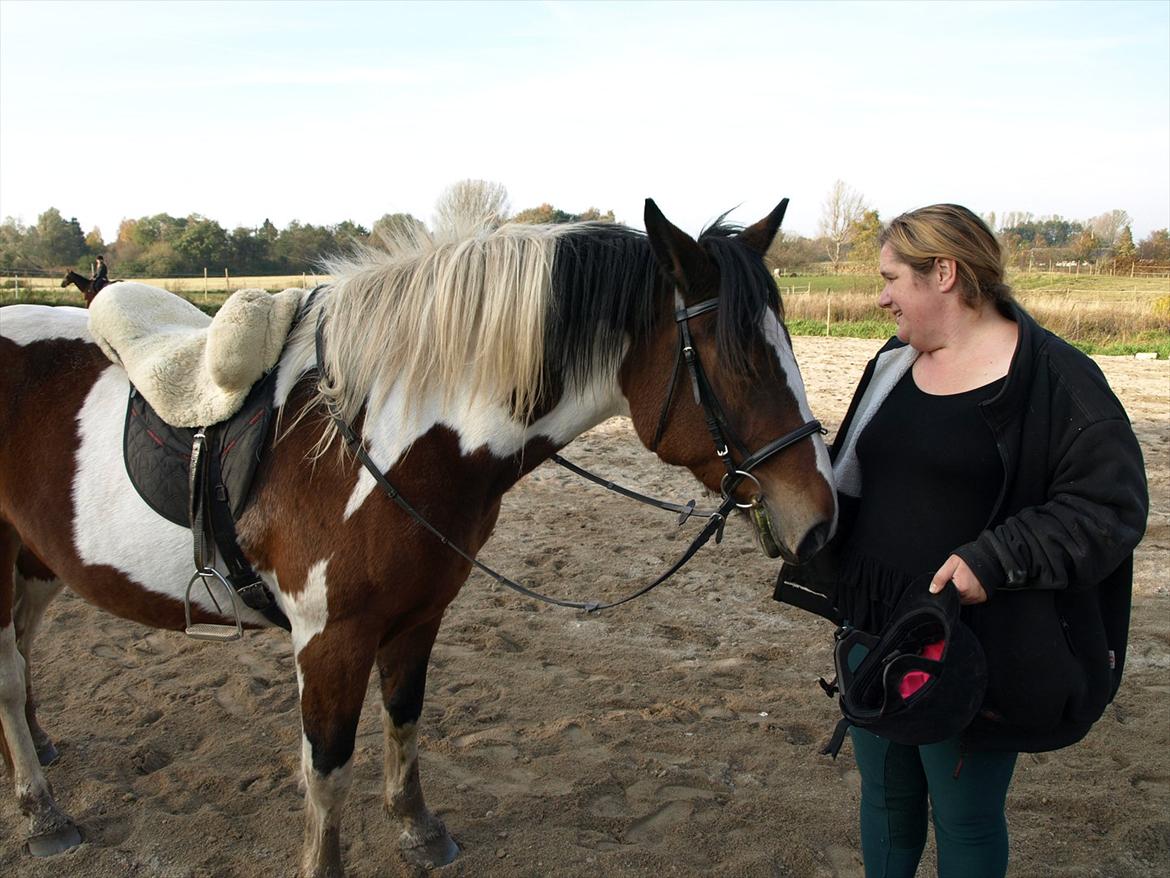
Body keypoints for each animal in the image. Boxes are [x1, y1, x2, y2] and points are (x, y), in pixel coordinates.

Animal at [2, 195, 842, 875]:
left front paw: (419, 832)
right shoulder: (330, 639)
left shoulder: (417, 616)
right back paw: (44, 813)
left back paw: (37, 758)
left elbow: (404, 720)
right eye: (740, 362)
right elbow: (327, 767)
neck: (385, 437)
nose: (822, 518)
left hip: (37, 566)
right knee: (9, 678)